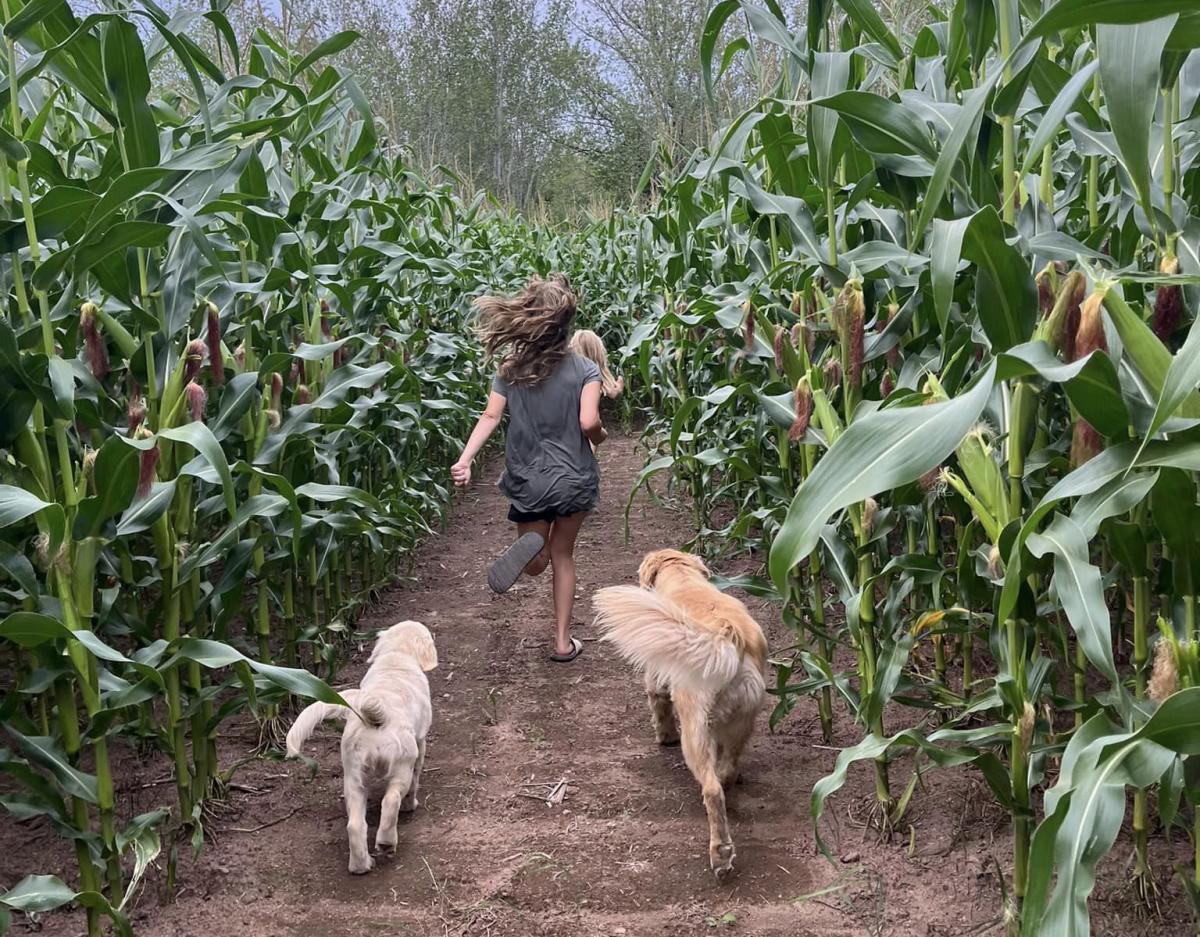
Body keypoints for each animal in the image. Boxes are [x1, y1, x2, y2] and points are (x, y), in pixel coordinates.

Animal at [283, 619, 439, 868]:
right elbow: (416, 780)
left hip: (354, 777)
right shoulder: (421, 743)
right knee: (391, 801)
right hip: (401, 767)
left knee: (355, 825)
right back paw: (386, 842)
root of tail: (377, 718)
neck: (396, 656)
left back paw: (360, 865)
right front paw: (411, 805)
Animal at [590, 549, 768, 878]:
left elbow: (658, 707)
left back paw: (720, 854)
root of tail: (726, 636)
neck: (683, 578)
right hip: (742, 722)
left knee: (712, 790)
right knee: (725, 771)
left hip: (694, 733)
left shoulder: (656, 677)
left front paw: (664, 736)